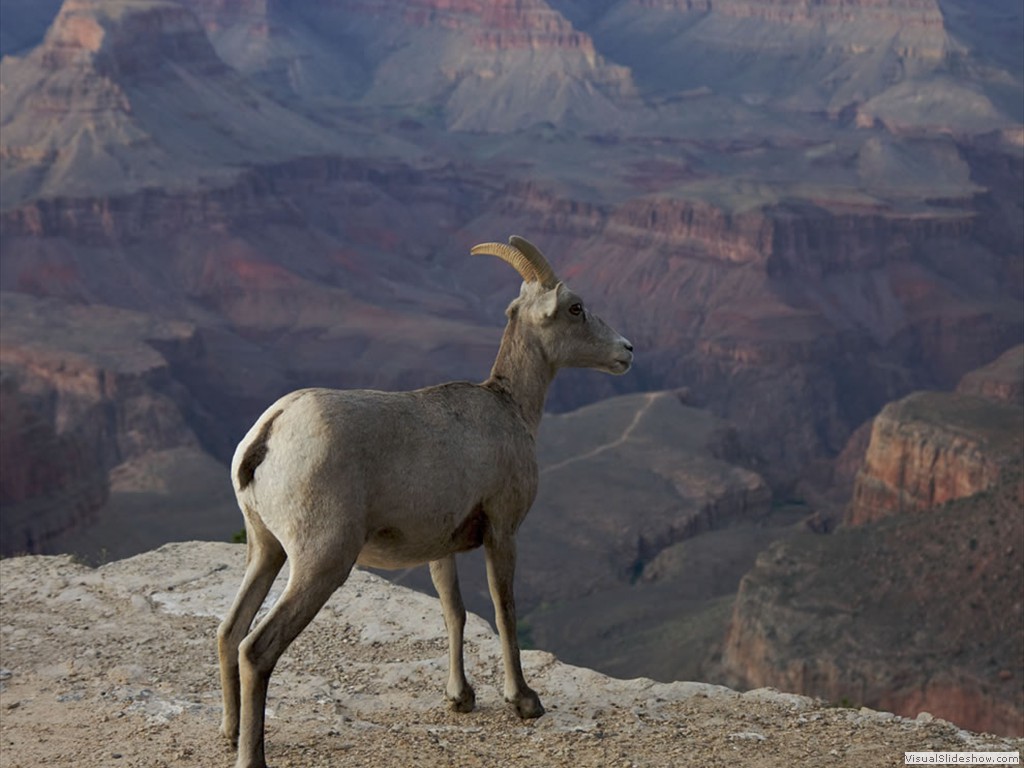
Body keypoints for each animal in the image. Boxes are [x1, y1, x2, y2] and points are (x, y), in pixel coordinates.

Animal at [217, 235, 634, 768]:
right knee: (256, 649)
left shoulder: (441, 548)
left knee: (230, 632)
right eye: (576, 308)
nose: (627, 351)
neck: (510, 408)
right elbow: (504, 610)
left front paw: (461, 698)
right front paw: (525, 702)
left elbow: (454, 612)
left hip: (265, 548)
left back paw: (229, 733)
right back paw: (251, 755)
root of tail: (270, 431)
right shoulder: (503, 532)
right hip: (321, 562)